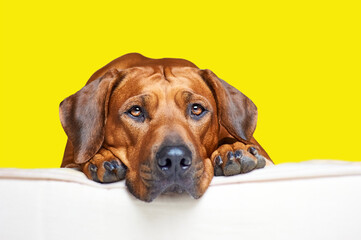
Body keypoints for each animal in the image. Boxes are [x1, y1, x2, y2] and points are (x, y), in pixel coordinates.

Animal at [59, 53, 272, 202]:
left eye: (196, 109)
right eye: (135, 111)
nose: (175, 159)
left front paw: (232, 148)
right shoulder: (68, 162)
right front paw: (102, 157)